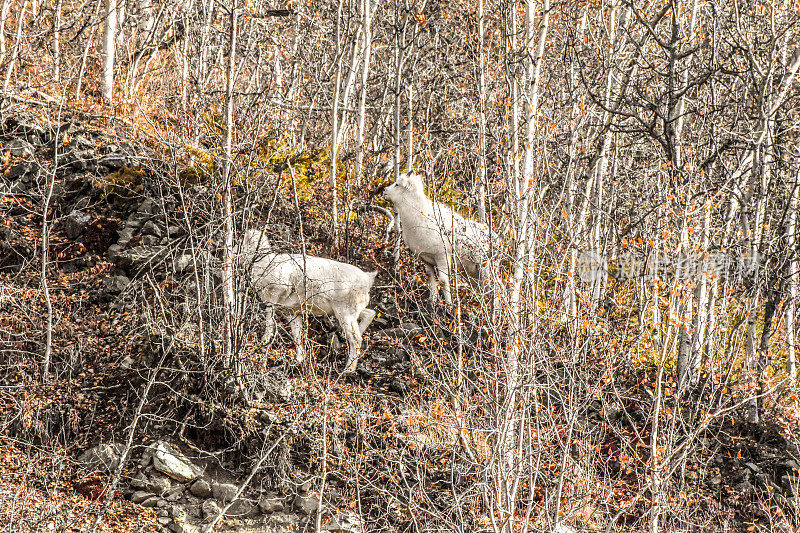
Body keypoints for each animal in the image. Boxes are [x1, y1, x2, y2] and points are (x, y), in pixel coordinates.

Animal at [236, 227, 376, 372]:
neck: (264, 264)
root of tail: (367, 279)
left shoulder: (273, 298)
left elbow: (269, 321)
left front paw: (264, 340)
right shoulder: (292, 312)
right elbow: (297, 335)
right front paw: (299, 360)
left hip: (344, 314)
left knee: (356, 339)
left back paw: (348, 369)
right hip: (351, 312)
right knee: (369, 315)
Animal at [382, 171, 494, 304]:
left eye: (397, 184)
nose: (384, 191)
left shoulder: (442, 257)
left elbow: (443, 281)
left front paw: (449, 304)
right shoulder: (425, 259)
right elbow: (431, 279)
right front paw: (432, 301)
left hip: (485, 269)